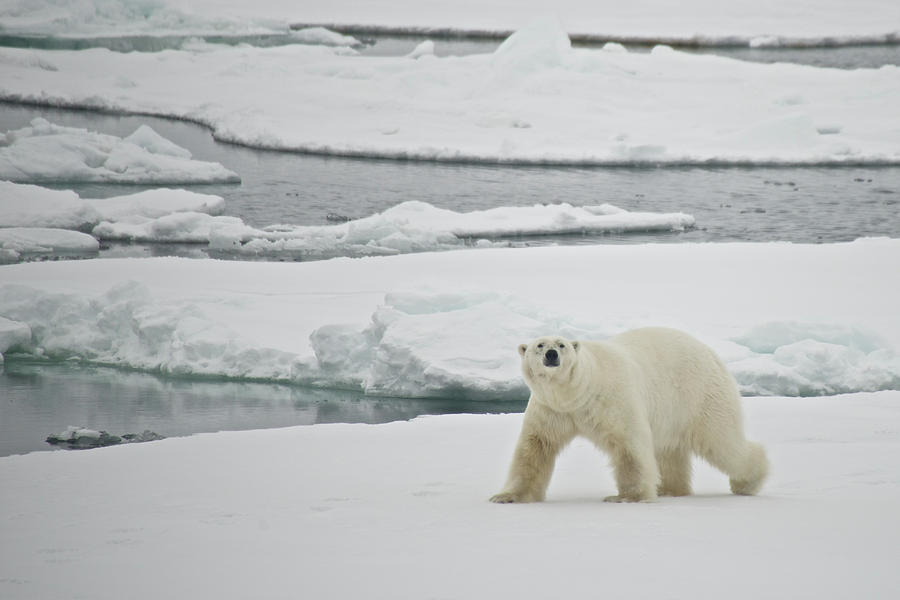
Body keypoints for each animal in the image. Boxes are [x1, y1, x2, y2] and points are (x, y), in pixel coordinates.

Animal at [492, 326, 768, 504]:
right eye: (539, 345)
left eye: (562, 344)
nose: (552, 355)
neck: (576, 394)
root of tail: (711, 352)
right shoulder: (550, 409)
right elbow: (534, 448)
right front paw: (506, 496)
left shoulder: (612, 399)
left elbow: (629, 445)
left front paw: (626, 497)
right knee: (670, 452)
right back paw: (670, 489)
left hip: (699, 395)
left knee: (722, 442)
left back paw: (748, 481)